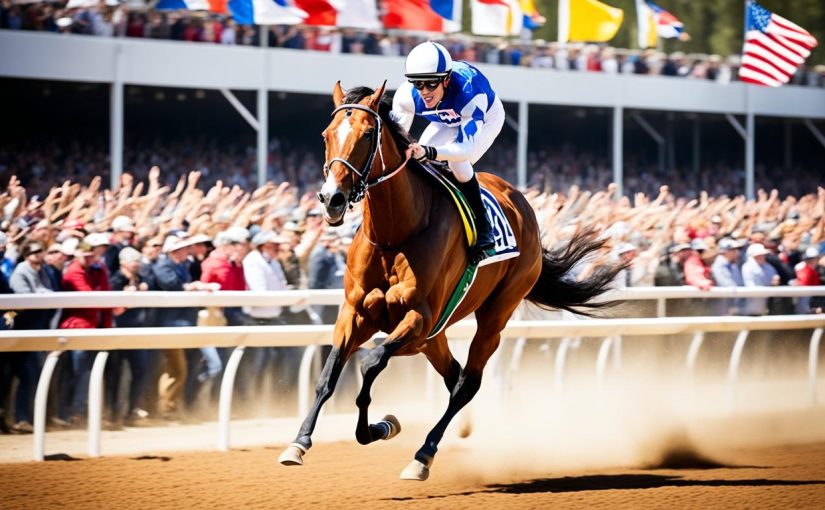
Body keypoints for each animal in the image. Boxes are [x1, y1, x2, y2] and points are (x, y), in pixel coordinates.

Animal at [276, 81, 616, 480]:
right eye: (326, 135)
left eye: (368, 134)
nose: (332, 199)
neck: (396, 233)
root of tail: (522, 204)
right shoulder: (356, 313)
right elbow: (328, 377)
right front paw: (299, 443)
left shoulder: (418, 319)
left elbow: (370, 363)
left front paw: (380, 427)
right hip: (432, 337)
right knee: (455, 376)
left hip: (493, 316)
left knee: (466, 384)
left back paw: (423, 455)